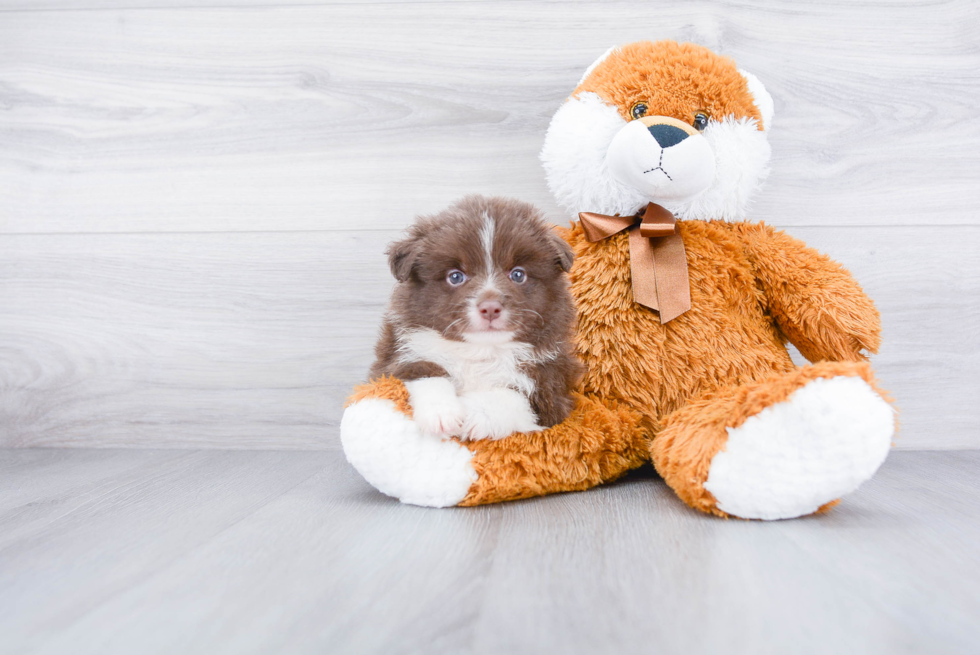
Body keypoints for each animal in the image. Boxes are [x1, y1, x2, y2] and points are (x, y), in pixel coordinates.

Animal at [368, 195, 580, 440]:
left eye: (518, 274)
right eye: (455, 277)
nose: (490, 308)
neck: (480, 350)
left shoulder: (551, 388)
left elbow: (513, 396)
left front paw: (473, 413)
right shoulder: (395, 359)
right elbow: (426, 371)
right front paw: (442, 415)